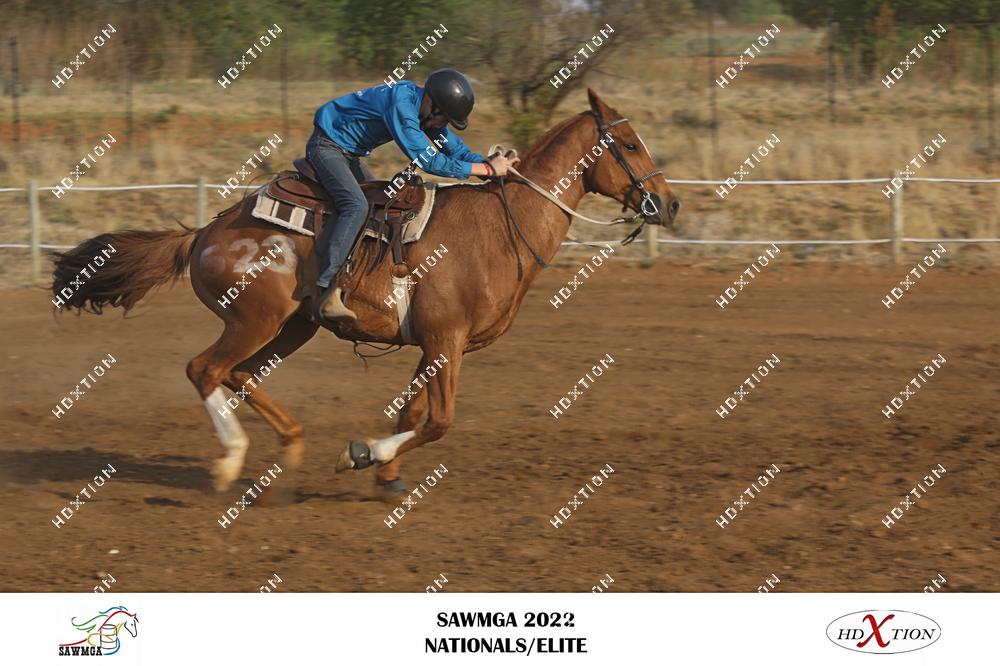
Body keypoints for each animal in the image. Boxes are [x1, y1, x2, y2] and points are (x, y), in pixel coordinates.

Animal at [50, 89, 680, 496]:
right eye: (628, 143)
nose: (669, 203)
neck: (501, 227)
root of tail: (206, 230)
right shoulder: (446, 342)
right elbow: (439, 420)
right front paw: (365, 454)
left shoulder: (437, 345)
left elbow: (413, 411)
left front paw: (384, 473)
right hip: (254, 319)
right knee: (205, 369)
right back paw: (230, 463)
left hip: (293, 326)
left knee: (240, 373)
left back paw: (292, 445)